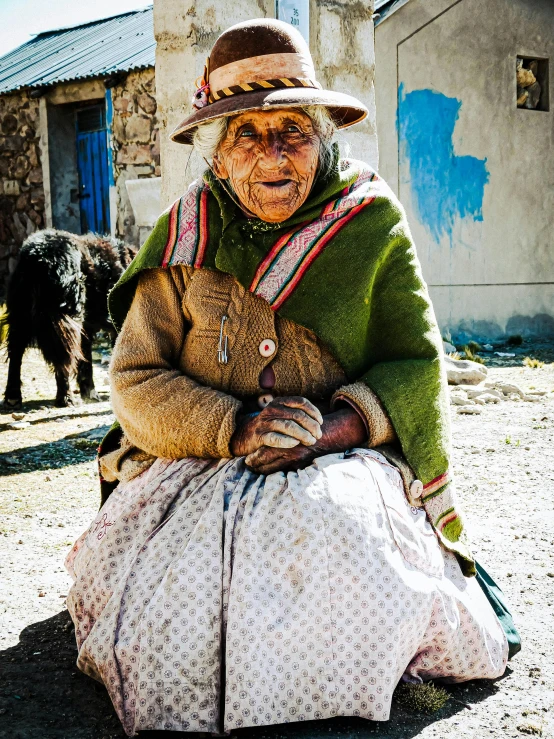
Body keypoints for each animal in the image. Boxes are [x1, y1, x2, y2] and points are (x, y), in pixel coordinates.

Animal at [2, 228, 136, 408]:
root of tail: (37, 256)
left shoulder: (87, 327)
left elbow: (85, 360)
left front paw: (89, 392)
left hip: (21, 317)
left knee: (16, 353)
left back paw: (13, 396)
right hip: (65, 318)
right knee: (63, 357)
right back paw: (66, 398)